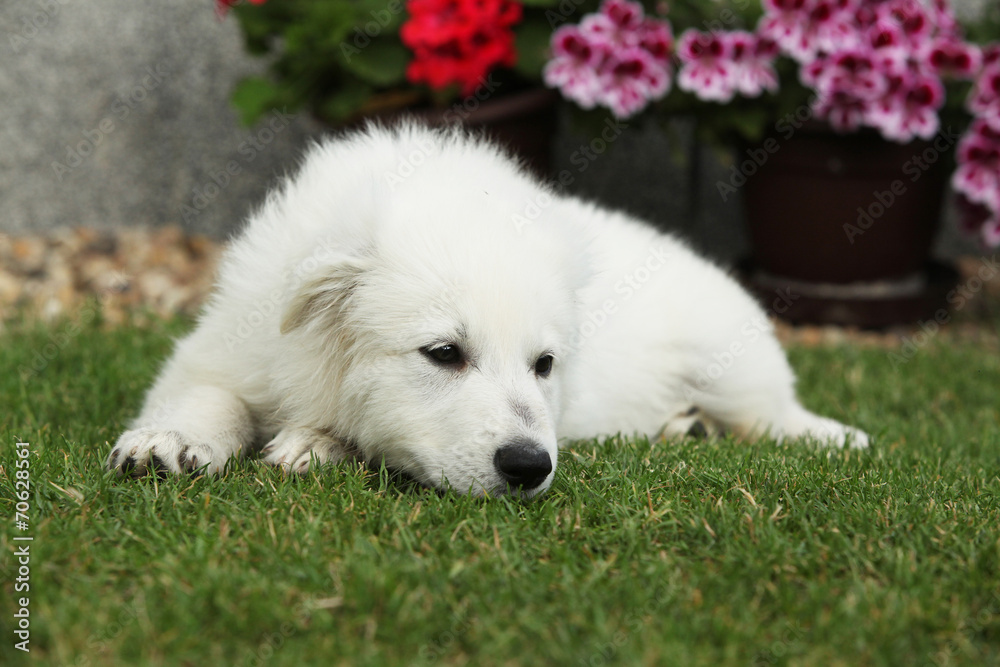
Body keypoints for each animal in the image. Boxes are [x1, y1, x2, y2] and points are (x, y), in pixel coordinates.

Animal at [105, 125, 864, 498]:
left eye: (545, 364)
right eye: (444, 352)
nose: (529, 468)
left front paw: (317, 443)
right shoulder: (226, 346)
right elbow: (208, 396)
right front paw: (167, 442)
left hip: (730, 361)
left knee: (773, 416)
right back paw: (684, 426)